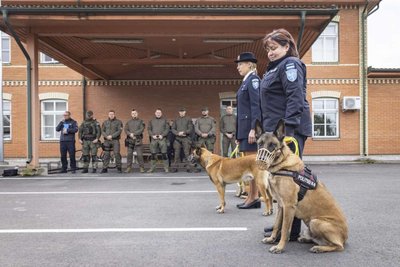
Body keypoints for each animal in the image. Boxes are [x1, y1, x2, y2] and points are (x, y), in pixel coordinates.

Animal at [256, 120, 346, 254]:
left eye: (272, 145)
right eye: (260, 144)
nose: (261, 160)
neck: (283, 164)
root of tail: (345, 236)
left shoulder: (289, 207)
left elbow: (284, 229)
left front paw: (279, 247)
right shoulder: (281, 206)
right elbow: (277, 225)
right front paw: (272, 239)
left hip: (315, 222)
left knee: (338, 246)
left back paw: (319, 248)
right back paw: (307, 239)